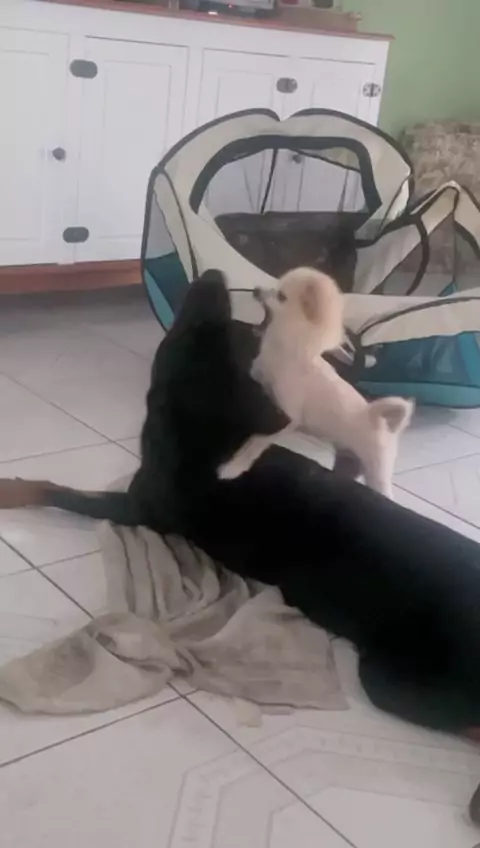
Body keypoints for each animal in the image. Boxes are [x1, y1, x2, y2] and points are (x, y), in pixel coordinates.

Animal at [218, 268, 414, 499]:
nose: (256, 290)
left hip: (377, 472)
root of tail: (384, 426)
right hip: (348, 462)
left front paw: (233, 467)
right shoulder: (260, 390)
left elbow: (255, 442)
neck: (286, 349)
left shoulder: (287, 419)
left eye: (281, 297)